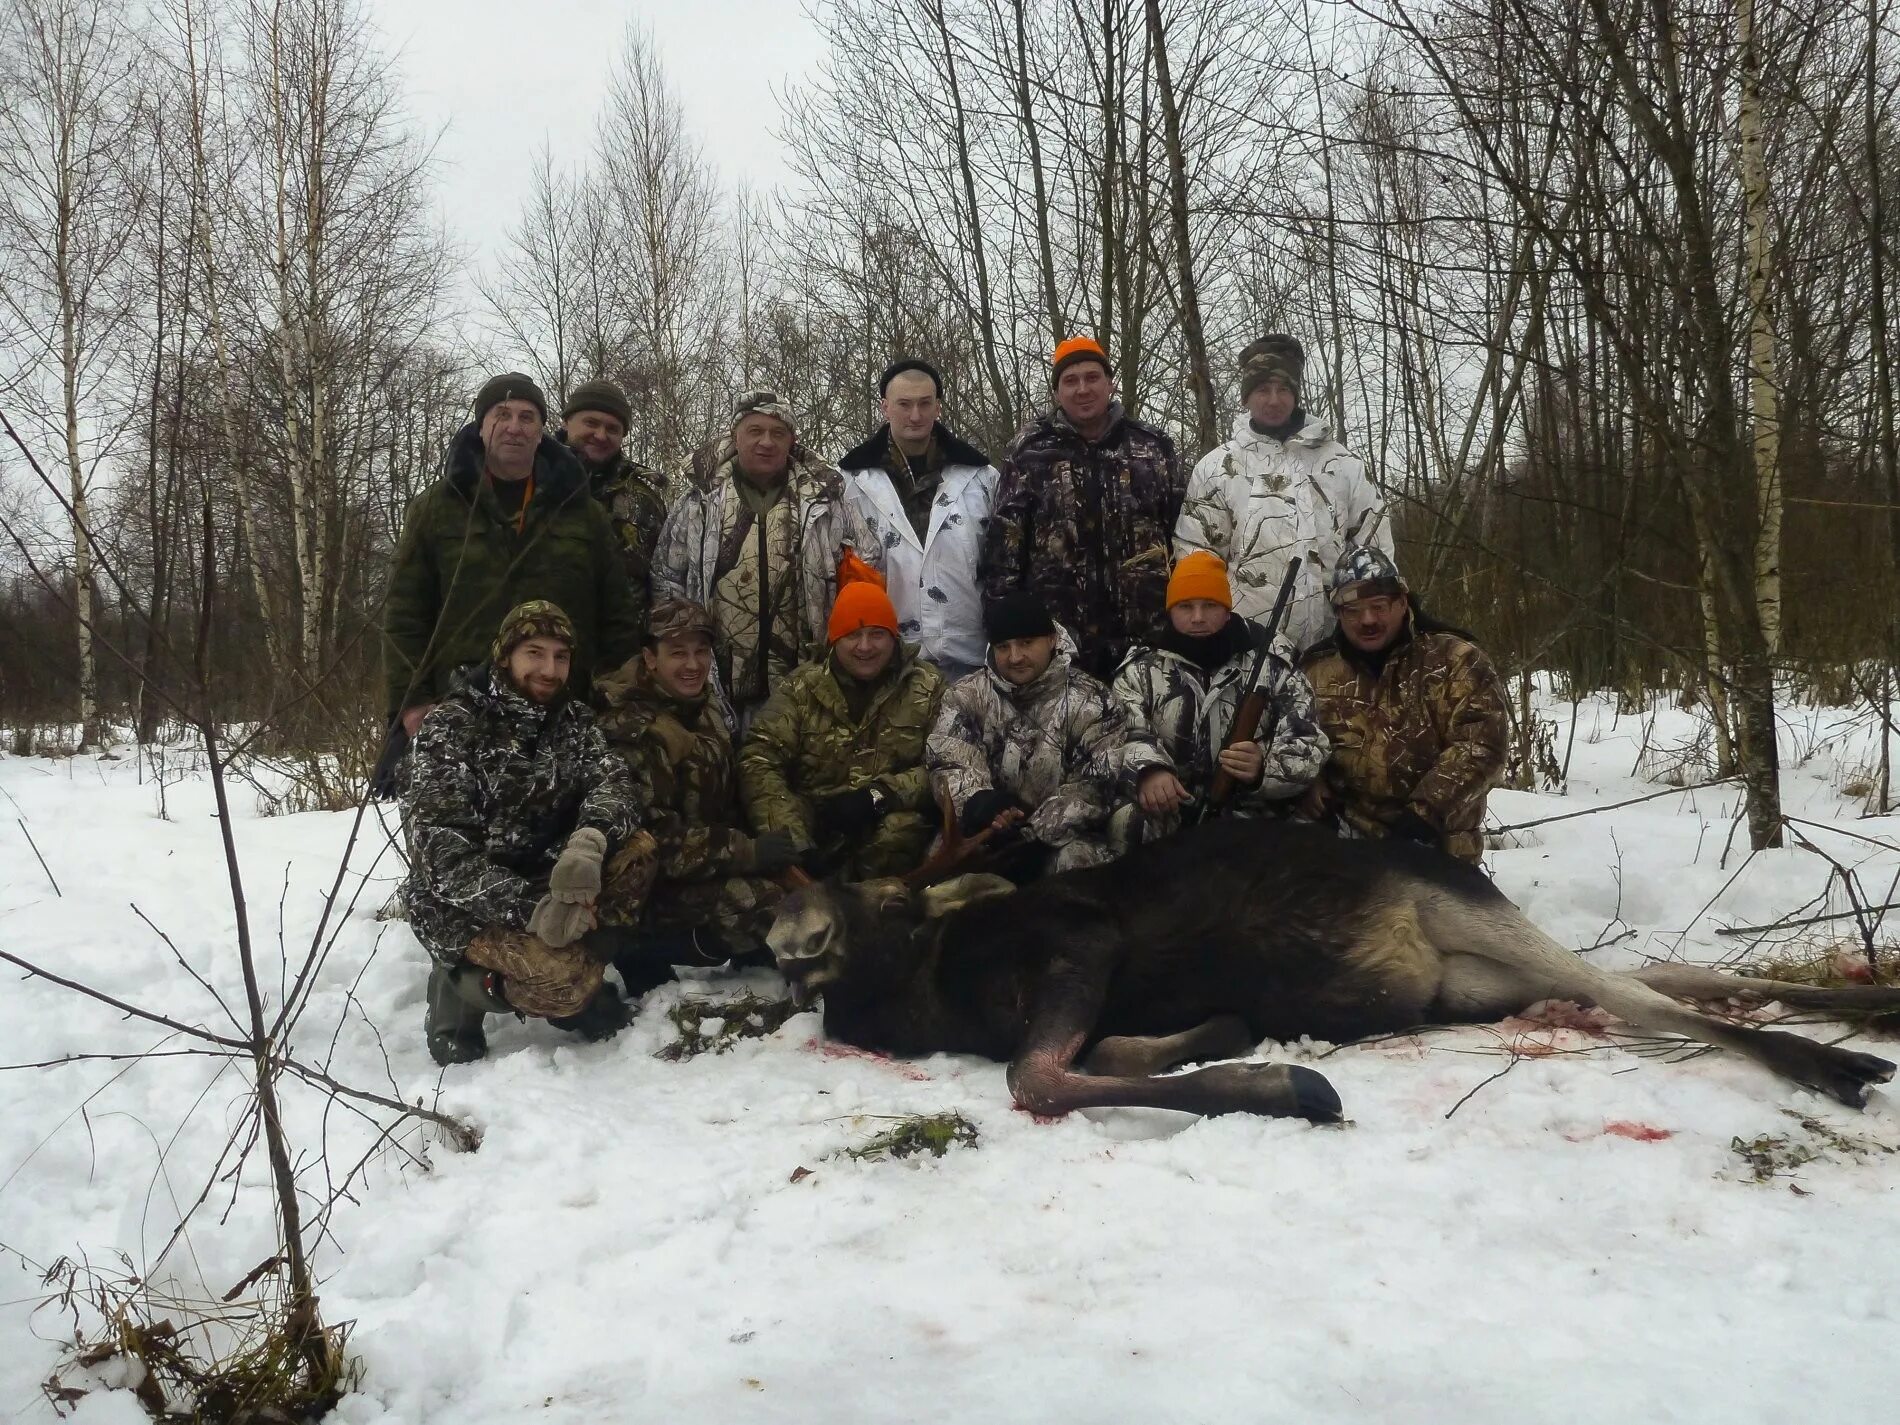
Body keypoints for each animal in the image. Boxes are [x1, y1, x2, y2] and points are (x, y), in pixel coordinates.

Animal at [760, 820, 1900, 1124]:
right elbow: (1102, 1053)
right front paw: (1225, 1041)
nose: (790, 933)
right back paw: (1865, 1003)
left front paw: (1287, 1084)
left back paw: (1832, 1055)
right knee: (1656, 974)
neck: (923, 991)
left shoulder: (1078, 940)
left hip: (1460, 900)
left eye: (887, 896)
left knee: (1645, 991)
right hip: (1473, 980)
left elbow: (1034, 1073)